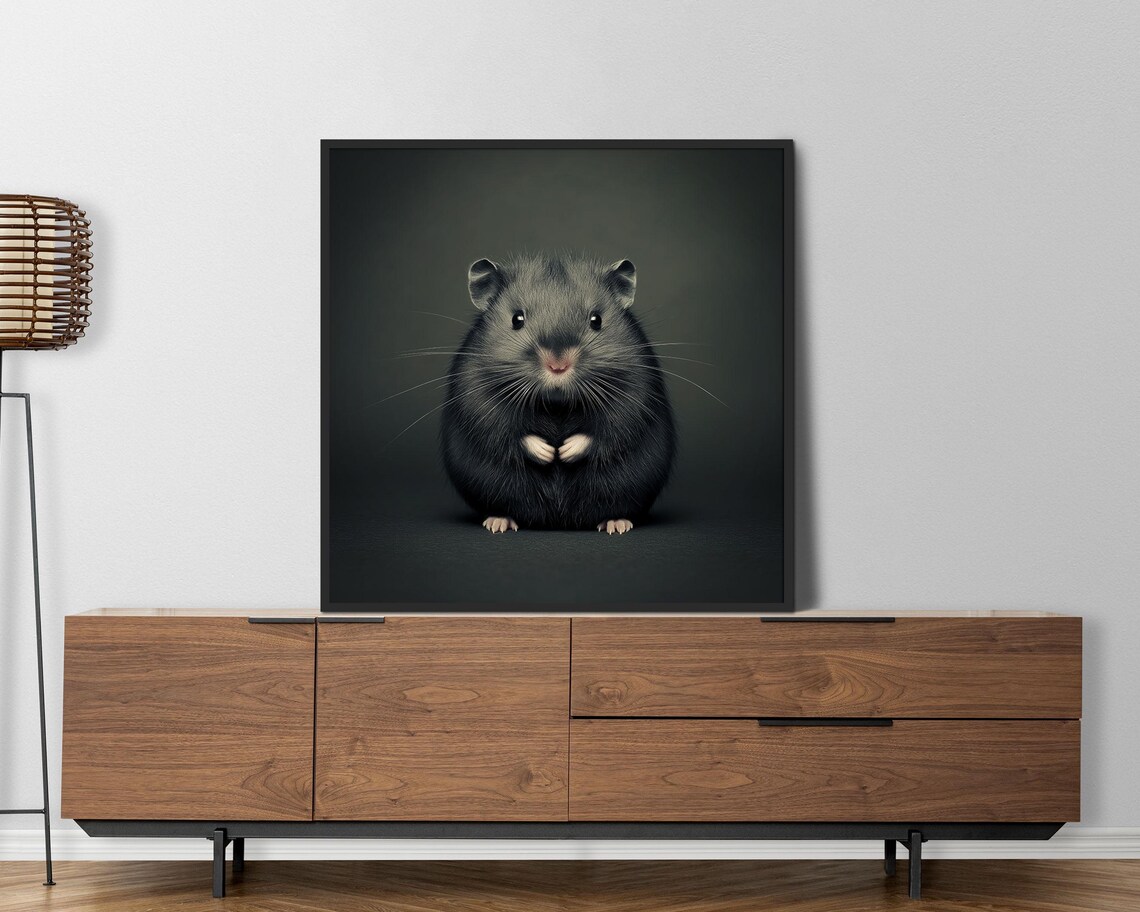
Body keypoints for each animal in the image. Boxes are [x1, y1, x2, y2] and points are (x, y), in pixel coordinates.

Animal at [440, 253, 676, 533]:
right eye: (516, 319)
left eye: (596, 320)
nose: (558, 366)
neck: (556, 404)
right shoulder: (478, 395)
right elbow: (506, 430)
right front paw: (547, 452)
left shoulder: (634, 392)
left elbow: (608, 430)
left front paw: (564, 451)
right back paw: (498, 522)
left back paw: (616, 524)